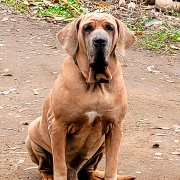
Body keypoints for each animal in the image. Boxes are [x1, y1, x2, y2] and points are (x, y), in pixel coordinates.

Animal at [25, 13, 136, 180]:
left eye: (109, 28)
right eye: (87, 28)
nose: (100, 41)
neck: (95, 84)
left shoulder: (115, 127)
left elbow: (111, 166)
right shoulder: (58, 126)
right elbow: (59, 165)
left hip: (101, 146)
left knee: (89, 170)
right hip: (32, 133)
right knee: (45, 167)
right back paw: (48, 175)